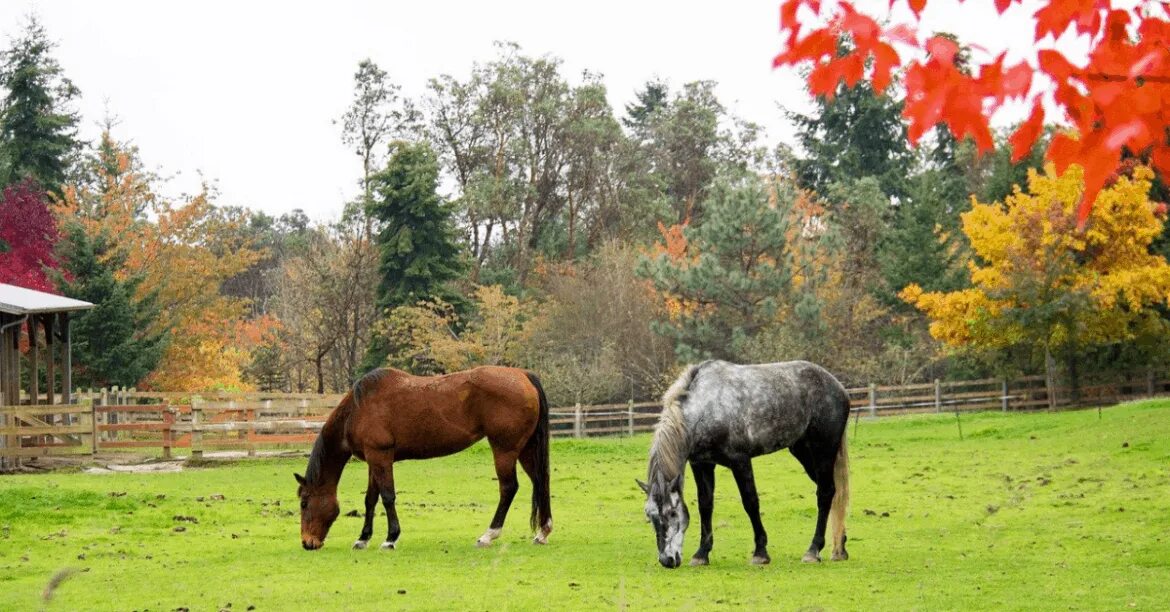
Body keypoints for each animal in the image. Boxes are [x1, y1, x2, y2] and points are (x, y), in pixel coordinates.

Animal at [290, 367, 549, 552]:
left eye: (304, 503)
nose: (307, 542)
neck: (358, 409)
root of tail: (523, 375)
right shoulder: (374, 461)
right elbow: (370, 500)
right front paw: (363, 538)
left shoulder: (381, 456)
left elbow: (387, 497)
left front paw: (390, 538)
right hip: (526, 449)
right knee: (540, 482)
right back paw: (543, 532)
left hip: (504, 450)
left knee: (508, 488)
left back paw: (489, 535)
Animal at [641, 360, 851, 571]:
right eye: (650, 516)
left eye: (672, 513)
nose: (667, 560)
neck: (706, 406)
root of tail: (837, 386)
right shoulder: (702, 464)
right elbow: (705, 505)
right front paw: (701, 554)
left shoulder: (740, 461)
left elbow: (750, 502)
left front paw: (760, 553)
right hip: (803, 451)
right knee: (833, 492)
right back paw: (839, 547)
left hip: (823, 450)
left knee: (825, 493)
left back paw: (813, 550)